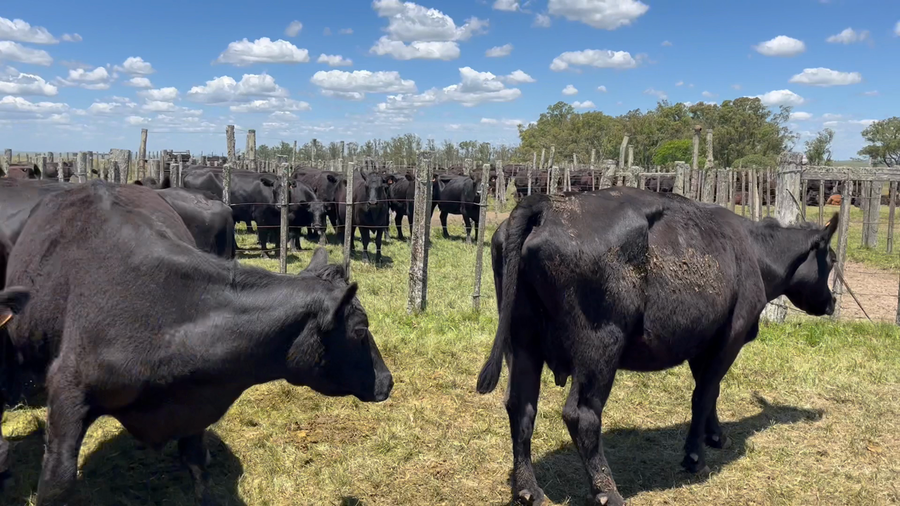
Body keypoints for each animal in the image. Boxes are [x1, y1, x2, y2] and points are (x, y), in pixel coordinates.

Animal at [2, 181, 393, 504]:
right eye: (360, 330)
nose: (388, 381)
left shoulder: (195, 404)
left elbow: (197, 470)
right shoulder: (67, 394)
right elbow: (57, 483)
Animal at [477, 187, 839, 506]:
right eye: (832, 260)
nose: (833, 302)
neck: (753, 251)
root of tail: (547, 204)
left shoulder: (702, 341)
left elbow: (710, 391)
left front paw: (715, 435)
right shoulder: (731, 336)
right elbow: (704, 394)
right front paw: (695, 456)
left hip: (522, 342)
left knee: (521, 407)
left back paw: (528, 490)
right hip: (600, 346)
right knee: (582, 415)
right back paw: (607, 492)